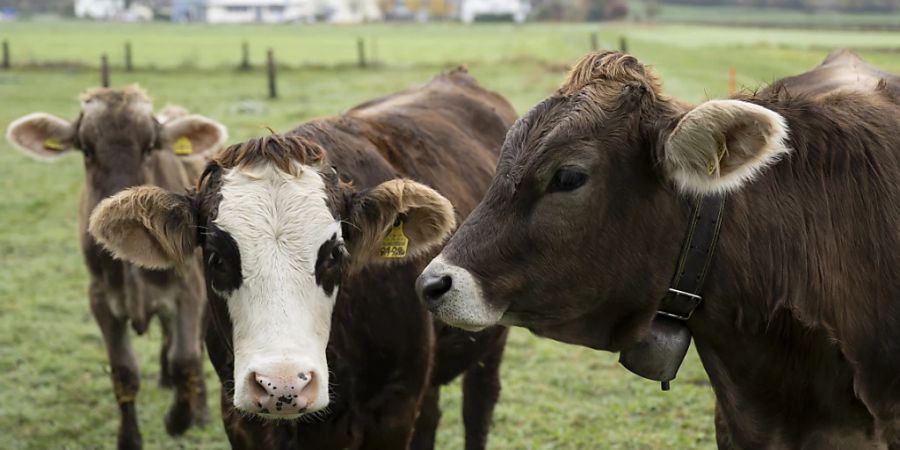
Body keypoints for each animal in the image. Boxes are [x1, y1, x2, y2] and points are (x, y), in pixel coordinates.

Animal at [6, 85, 229, 450]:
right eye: (86, 149)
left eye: (149, 147)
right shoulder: (100, 299)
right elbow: (123, 372)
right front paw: (129, 438)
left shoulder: (189, 290)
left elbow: (186, 358)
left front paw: (180, 419)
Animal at [89, 68, 516, 448]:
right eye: (216, 258)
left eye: (335, 253)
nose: (282, 383)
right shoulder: (241, 420)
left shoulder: (393, 410)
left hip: (488, 341)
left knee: (478, 406)